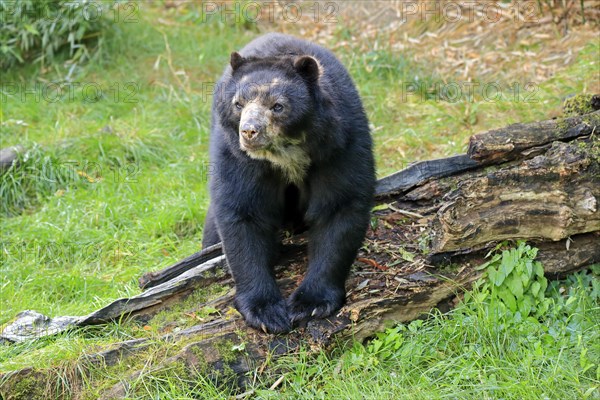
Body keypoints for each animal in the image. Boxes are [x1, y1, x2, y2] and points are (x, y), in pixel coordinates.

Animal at [202, 32, 376, 334]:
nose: (249, 131)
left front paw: (309, 304)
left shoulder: (340, 144)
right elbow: (243, 213)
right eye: (238, 104)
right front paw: (266, 312)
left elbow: (339, 206)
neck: (285, 153)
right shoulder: (237, 156)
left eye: (278, 106)